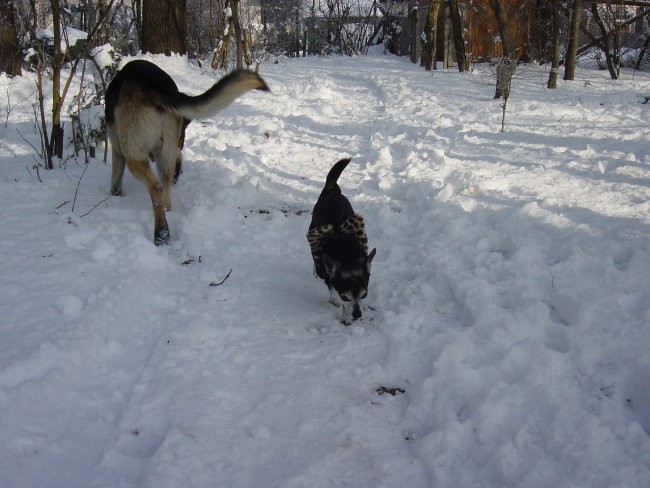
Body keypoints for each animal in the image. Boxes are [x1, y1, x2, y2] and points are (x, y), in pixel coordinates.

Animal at [105, 59, 268, 246]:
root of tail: (151, 85)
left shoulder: (117, 149)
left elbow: (116, 177)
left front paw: (115, 196)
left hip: (135, 155)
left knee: (156, 187)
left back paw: (161, 232)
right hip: (164, 154)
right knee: (166, 191)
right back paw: (167, 217)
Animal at [308, 158, 378, 322]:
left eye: (365, 295)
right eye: (345, 297)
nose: (357, 315)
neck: (347, 254)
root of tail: (332, 188)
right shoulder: (329, 273)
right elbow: (331, 285)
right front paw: (337, 302)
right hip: (313, 229)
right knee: (316, 258)